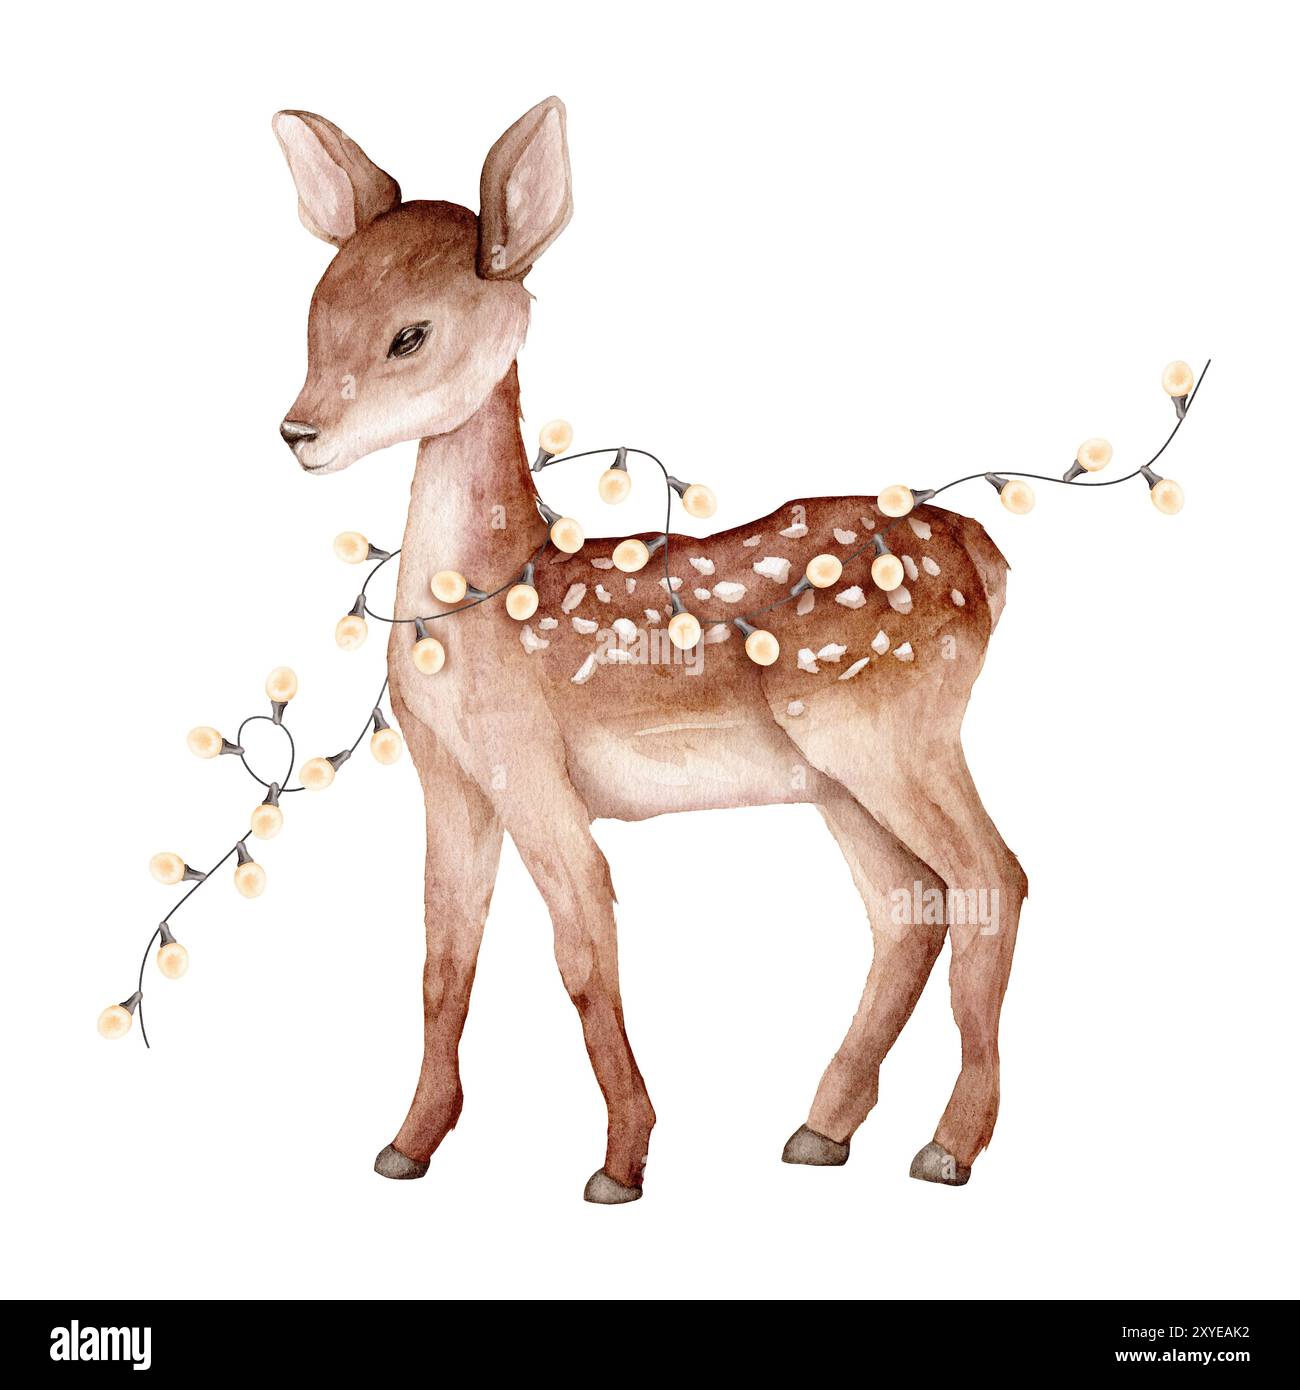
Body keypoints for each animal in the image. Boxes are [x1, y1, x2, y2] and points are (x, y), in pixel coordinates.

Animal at [273, 96, 1027, 1203]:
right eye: (316, 308)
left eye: (410, 333)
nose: (299, 432)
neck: (492, 596)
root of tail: (986, 558)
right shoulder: (452, 781)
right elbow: (442, 963)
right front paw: (406, 1144)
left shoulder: (531, 764)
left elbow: (585, 949)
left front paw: (621, 1162)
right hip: (837, 774)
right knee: (911, 907)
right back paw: (822, 1130)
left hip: (894, 731)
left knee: (993, 878)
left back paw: (948, 1147)